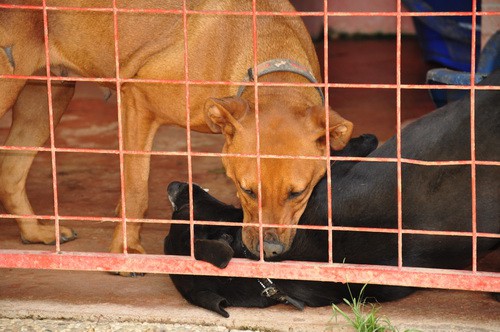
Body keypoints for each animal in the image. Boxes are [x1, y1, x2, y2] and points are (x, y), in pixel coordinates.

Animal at [0, 1, 354, 262]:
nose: (270, 250)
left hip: (47, 97)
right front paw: (126, 250)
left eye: (297, 193)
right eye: (248, 190)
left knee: (11, 172)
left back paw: (34, 233)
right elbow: (136, 191)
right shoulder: (137, 102)